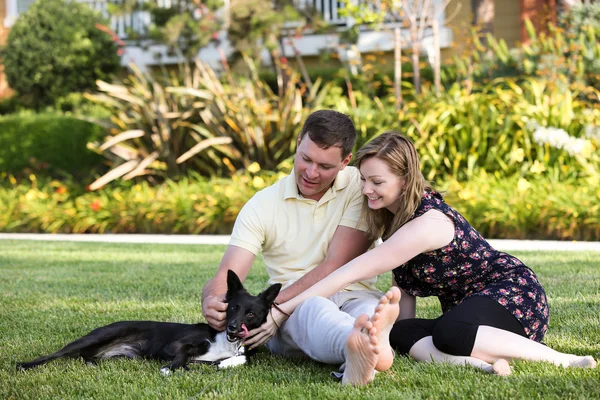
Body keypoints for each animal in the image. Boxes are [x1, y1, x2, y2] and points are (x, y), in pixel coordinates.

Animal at [16, 268, 282, 376]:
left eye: (250, 314)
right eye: (233, 307)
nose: (232, 327)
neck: (227, 343)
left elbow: (238, 360)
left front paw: (225, 363)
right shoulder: (176, 346)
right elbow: (181, 356)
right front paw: (170, 368)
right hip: (96, 337)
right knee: (55, 354)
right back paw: (25, 365)